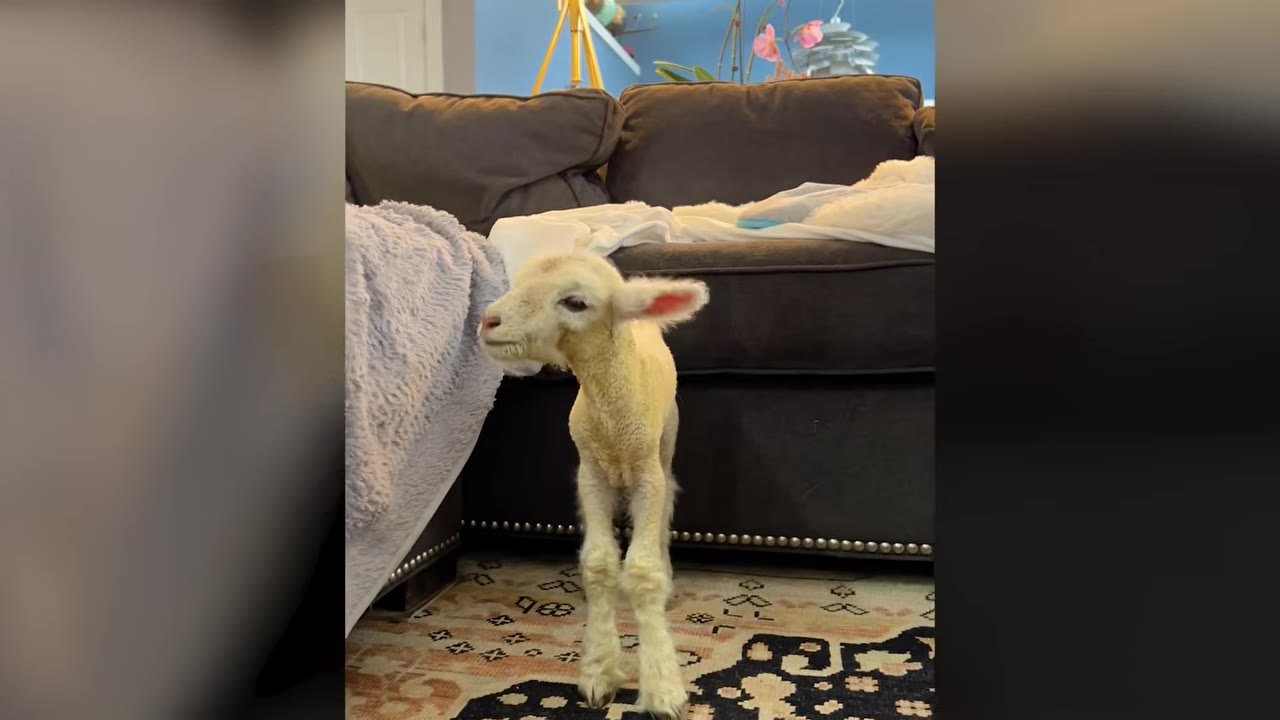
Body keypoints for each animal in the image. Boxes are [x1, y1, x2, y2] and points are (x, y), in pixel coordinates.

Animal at [478, 253, 709, 719]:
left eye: (575, 302)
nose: (488, 321)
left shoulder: (647, 474)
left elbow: (642, 569)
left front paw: (662, 688)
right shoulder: (591, 474)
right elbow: (600, 564)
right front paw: (599, 672)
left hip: (667, 442)